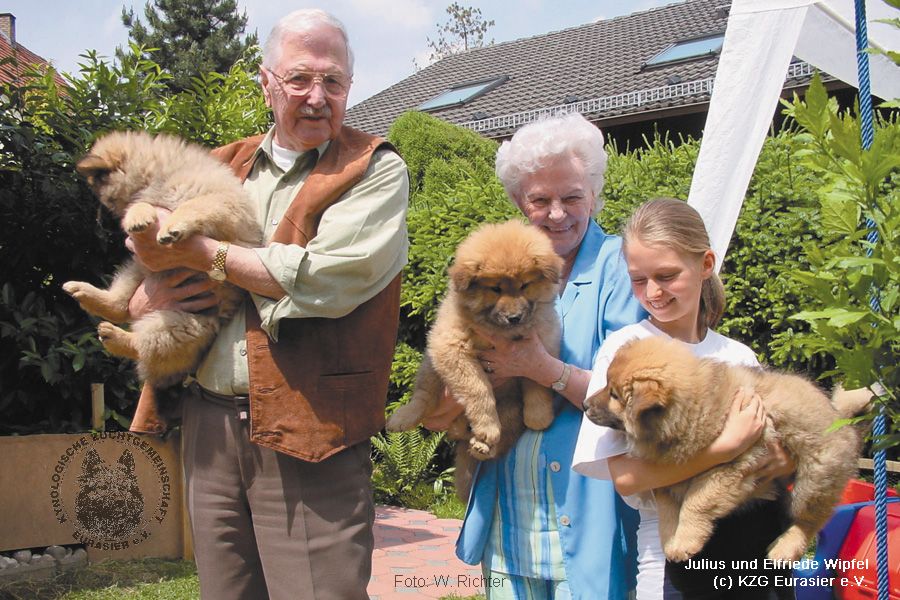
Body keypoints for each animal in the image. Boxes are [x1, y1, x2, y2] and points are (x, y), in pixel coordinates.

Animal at [62, 129, 260, 386]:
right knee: (119, 306)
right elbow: (146, 204)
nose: (103, 227)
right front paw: (139, 215)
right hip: (138, 270)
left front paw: (172, 225)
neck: (157, 177)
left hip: (186, 323)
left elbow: (194, 205)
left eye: (108, 201)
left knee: (143, 345)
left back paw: (116, 336)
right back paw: (87, 295)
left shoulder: (223, 204)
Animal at [386, 219, 564, 496]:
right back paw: (403, 418)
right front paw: (487, 425)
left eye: (525, 285)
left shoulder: (541, 345)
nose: (514, 318)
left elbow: (537, 383)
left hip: (510, 409)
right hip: (430, 365)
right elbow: (478, 389)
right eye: (495, 288)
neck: (499, 331)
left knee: (502, 437)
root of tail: (459, 430)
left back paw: (482, 446)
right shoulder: (451, 347)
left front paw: (539, 417)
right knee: (424, 398)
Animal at [580, 338, 868, 564]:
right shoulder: (664, 478)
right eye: (606, 385)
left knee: (809, 519)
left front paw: (685, 540)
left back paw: (785, 547)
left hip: (815, 478)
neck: (692, 410)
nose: (584, 404)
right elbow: (667, 511)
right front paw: (671, 541)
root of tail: (843, 420)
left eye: (614, 395)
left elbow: (696, 502)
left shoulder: (732, 465)